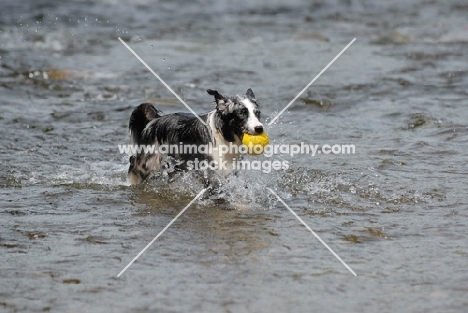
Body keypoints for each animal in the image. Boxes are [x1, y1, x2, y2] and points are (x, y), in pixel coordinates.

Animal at [127, 88, 264, 185]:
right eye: (242, 113)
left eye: (257, 113)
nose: (259, 128)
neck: (225, 137)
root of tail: (153, 122)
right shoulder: (211, 173)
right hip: (149, 162)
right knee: (133, 163)